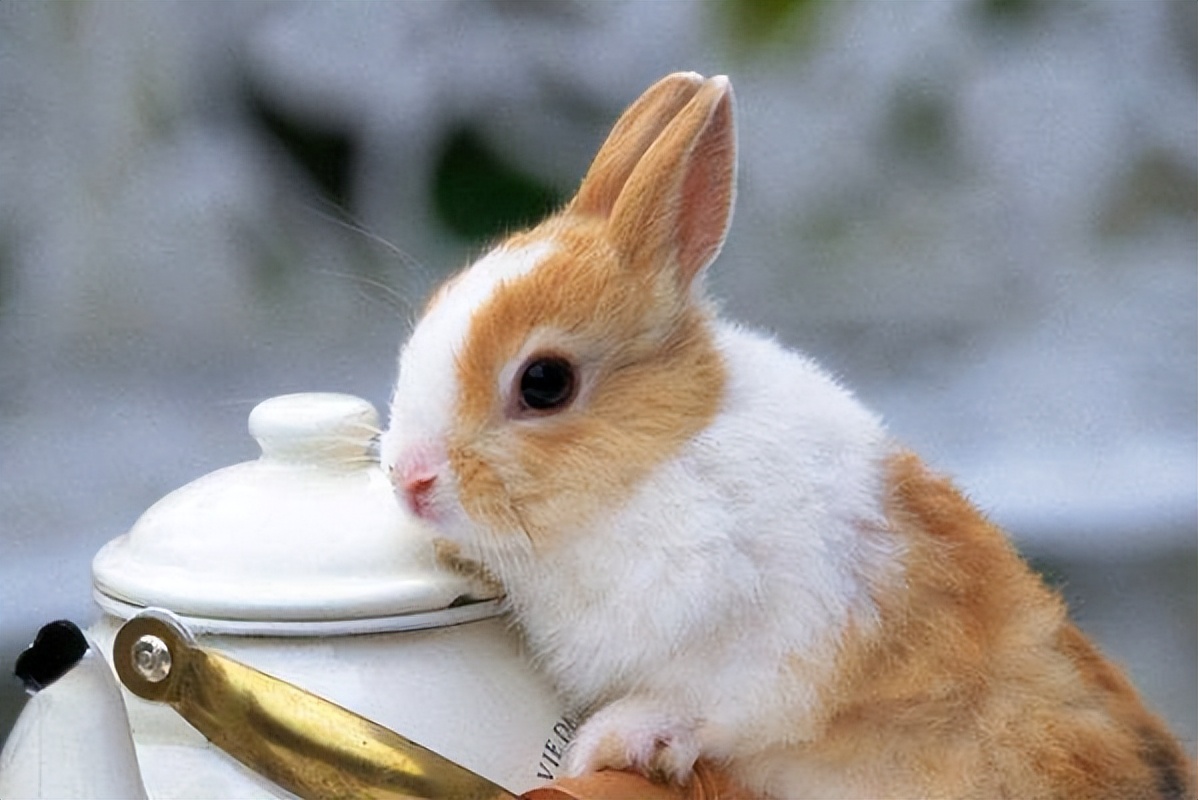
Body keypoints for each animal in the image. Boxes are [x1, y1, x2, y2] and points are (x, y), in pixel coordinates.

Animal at [380, 72, 1195, 799]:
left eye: (545, 383)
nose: (409, 479)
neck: (657, 468)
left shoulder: (768, 652)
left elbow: (705, 709)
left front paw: (607, 744)